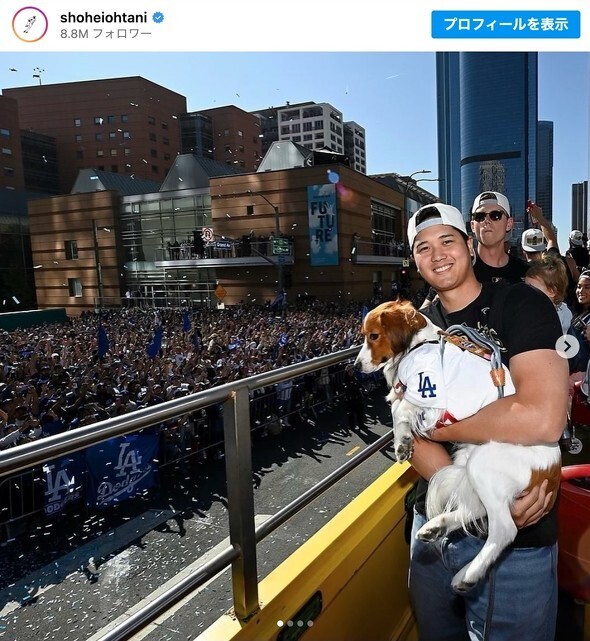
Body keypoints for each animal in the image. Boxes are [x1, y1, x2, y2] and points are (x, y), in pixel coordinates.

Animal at [354, 302, 560, 592]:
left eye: (373, 336)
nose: (355, 366)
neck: (418, 344)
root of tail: (554, 469)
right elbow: (398, 410)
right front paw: (403, 442)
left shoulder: (429, 393)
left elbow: (399, 408)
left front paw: (402, 439)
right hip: (469, 463)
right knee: (477, 509)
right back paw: (436, 527)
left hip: (483, 462)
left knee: (504, 529)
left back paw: (468, 575)